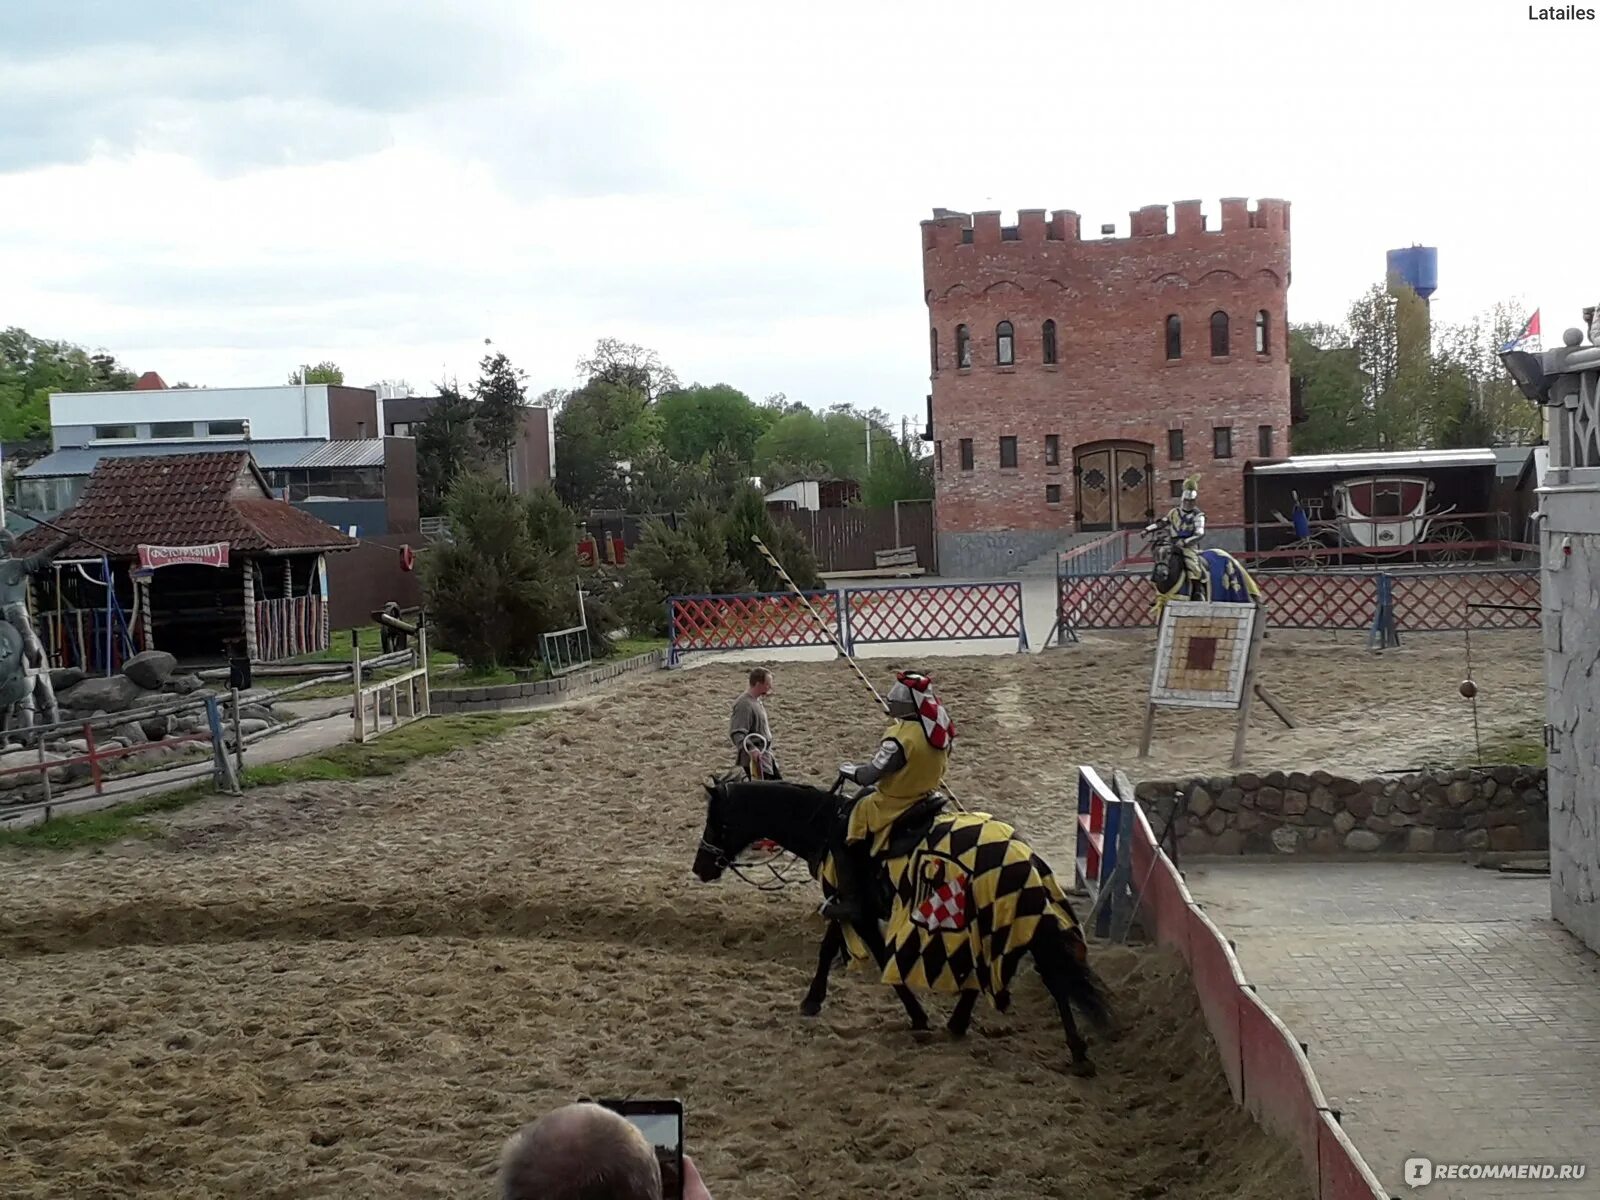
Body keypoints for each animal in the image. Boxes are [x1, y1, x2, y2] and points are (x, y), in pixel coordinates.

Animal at [694, 780, 1120, 1081]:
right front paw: (814, 999)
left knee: (1039, 975)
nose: (701, 867)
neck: (825, 826)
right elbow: (831, 947)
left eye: (716, 821)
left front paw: (915, 1015)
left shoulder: (855, 908)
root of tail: (1023, 855)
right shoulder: (850, 906)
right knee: (1038, 974)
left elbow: (872, 955)